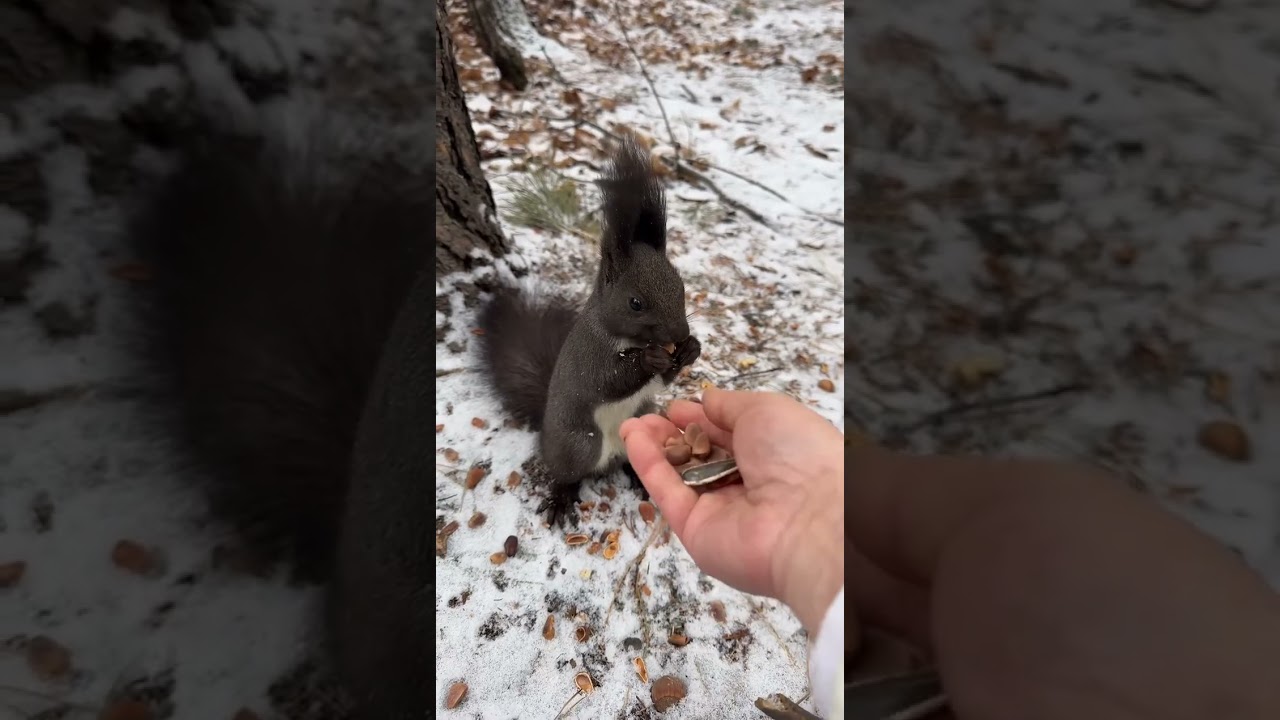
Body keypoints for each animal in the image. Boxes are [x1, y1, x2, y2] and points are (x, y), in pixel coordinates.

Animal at [476, 138, 701, 524]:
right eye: (635, 303)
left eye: (681, 287)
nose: (679, 332)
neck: (629, 340)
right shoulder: (588, 353)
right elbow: (605, 381)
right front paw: (650, 360)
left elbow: (664, 381)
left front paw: (690, 349)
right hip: (578, 442)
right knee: (567, 472)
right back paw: (561, 498)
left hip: (644, 418)